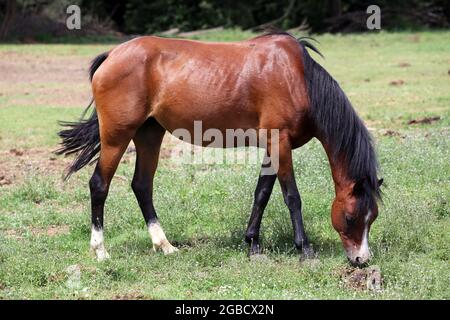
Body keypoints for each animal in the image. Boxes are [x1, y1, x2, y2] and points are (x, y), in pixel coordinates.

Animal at [57, 29, 384, 264]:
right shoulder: (280, 142)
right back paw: (100, 250)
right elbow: (292, 197)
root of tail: (112, 54)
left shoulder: (272, 146)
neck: (299, 79)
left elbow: (262, 193)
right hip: (117, 135)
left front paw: (252, 243)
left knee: (142, 186)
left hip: (149, 134)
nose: (361, 260)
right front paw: (304, 249)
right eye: (352, 217)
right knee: (99, 185)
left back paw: (164, 245)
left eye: (373, 217)